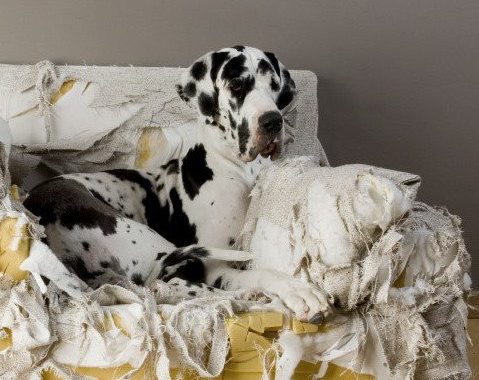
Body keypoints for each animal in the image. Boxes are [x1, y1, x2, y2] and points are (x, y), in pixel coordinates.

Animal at [22, 46, 330, 322]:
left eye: (274, 85)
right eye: (237, 85)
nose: (272, 121)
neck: (240, 169)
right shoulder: (215, 267)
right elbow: (260, 272)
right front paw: (299, 290)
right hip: (149, 243)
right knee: (169, 284)